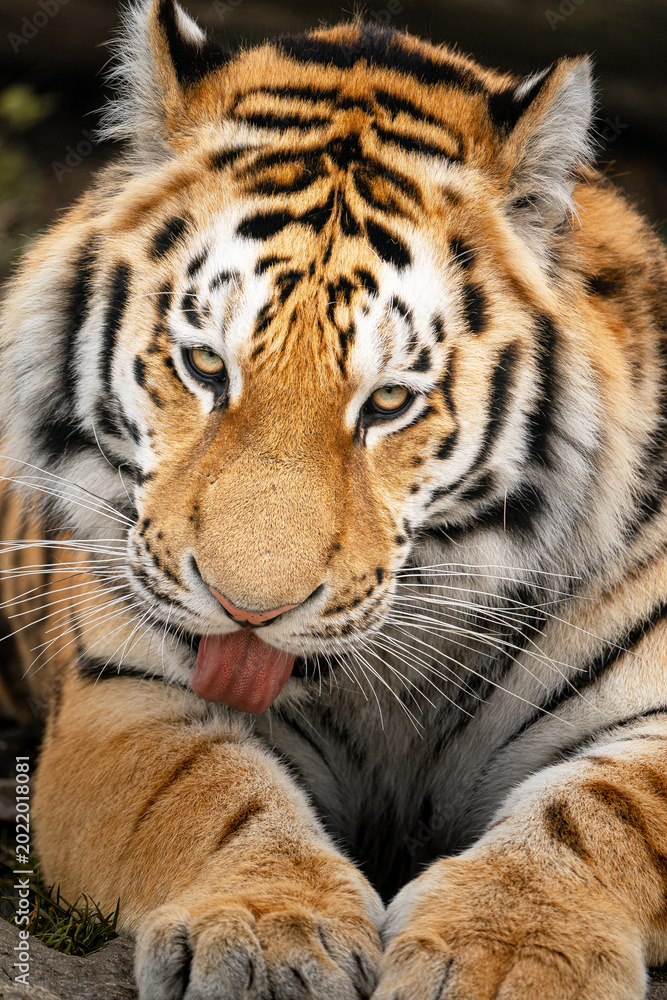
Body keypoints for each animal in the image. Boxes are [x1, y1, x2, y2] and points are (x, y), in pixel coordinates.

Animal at [2, 0, 667, 997]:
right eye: (205, 366)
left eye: (387, 402)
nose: (247, 609)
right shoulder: (129, 695)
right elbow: (206, 791)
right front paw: (269, 932)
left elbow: (596, 816)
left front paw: (506, 952)